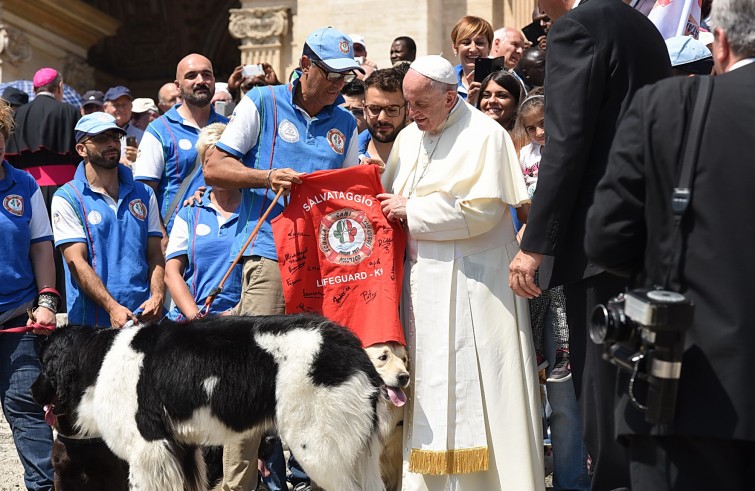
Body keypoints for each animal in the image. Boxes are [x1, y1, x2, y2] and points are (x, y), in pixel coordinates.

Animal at [32, 316, 392, 491]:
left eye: (44, 366)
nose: (33, 393)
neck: (96, 361)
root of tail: (355, 351)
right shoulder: (180, 449)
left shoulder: (147, 449)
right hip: (356, 455)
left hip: (318, 448)